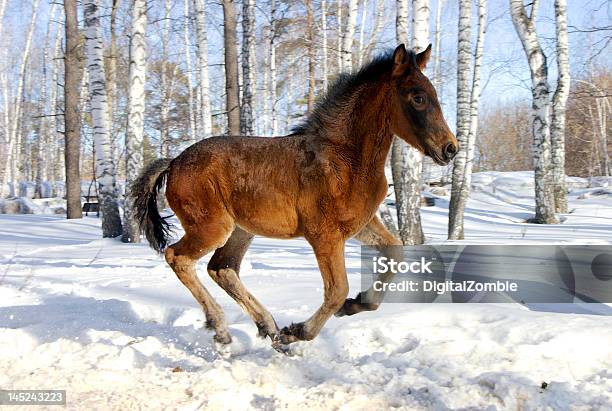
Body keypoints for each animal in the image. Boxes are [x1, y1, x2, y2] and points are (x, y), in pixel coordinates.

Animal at [131, 45, 456, 352]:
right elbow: (336, 290)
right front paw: (298, 331)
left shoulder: (360, 225)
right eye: (418, 97)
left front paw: (357, 303)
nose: (450, 148)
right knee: (178, 257)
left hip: (241, 231)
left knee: (222, 268)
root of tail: (173, 162)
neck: (348, 159)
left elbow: (395, 252)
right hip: (211, 227)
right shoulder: (324, 235)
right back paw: (223, 329)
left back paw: (268, 328)